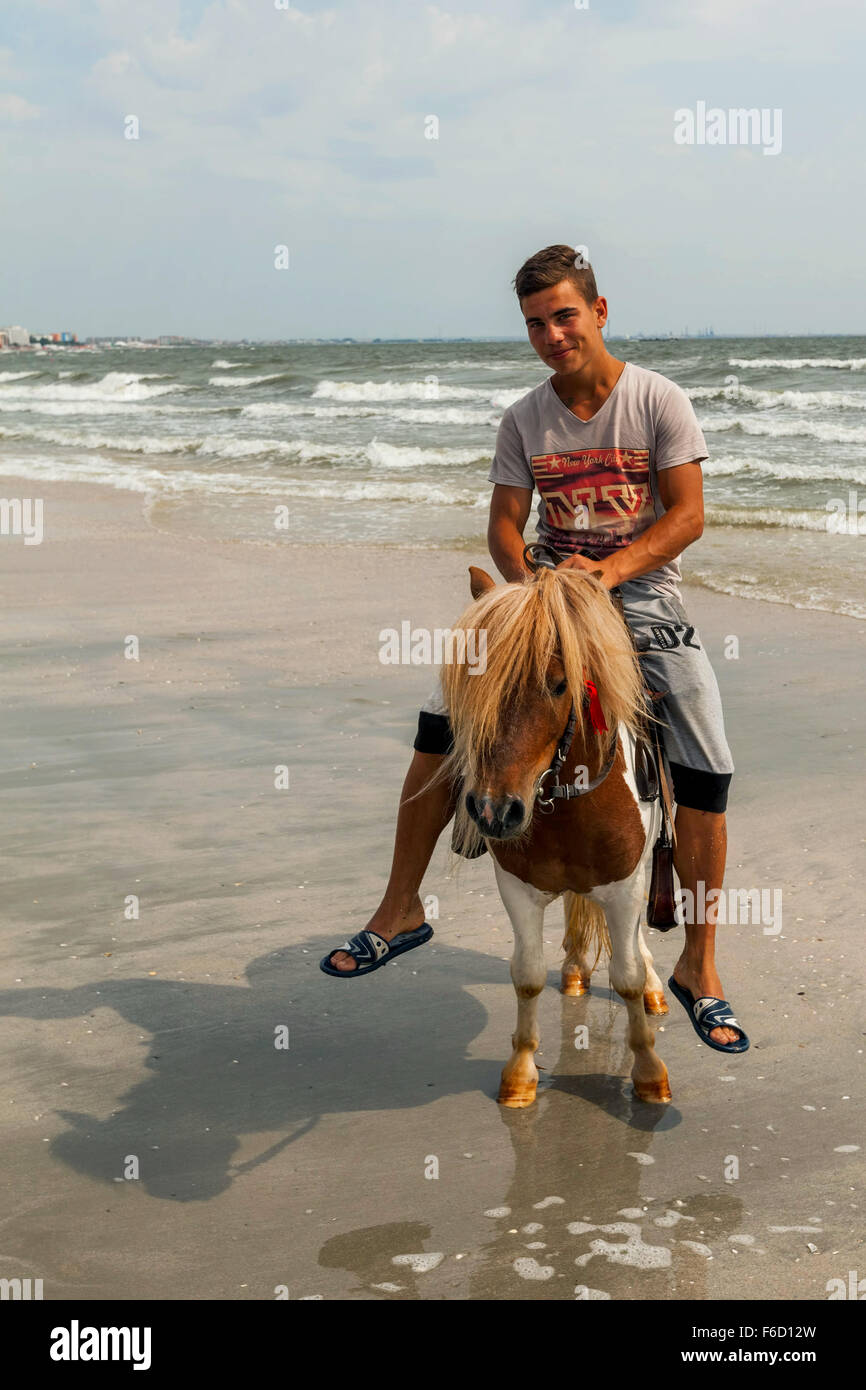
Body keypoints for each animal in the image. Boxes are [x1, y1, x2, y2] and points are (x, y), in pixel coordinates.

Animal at [439, 561, 670, 1106]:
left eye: (560, 684)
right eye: (472, 681)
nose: (494, 810)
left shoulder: (625, 887)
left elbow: (627, 977)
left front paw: (649, 1072)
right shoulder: (517, 889)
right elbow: (525, 976)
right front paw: (521, 1074)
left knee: (636, 944)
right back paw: (574, 972)